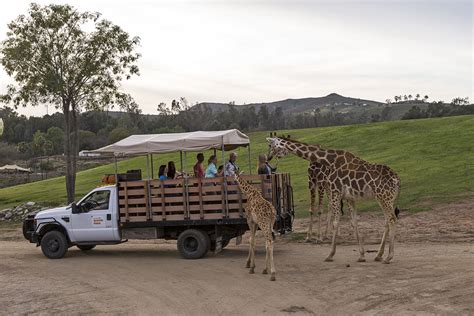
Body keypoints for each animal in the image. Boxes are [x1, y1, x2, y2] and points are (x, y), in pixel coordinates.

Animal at [266, 137, 400, 262]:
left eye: (271, 145)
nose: (269, 158)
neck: (329, 161)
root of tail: (397, 180)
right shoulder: (349, 197)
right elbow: (354, 222)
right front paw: (361, 255)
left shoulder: (335, 191)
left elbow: (336, 222)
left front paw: (330, 254)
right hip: (387, 199)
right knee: (387, 221)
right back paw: (379, 255)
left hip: (383, 197)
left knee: (392, 219)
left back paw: (389, 256)